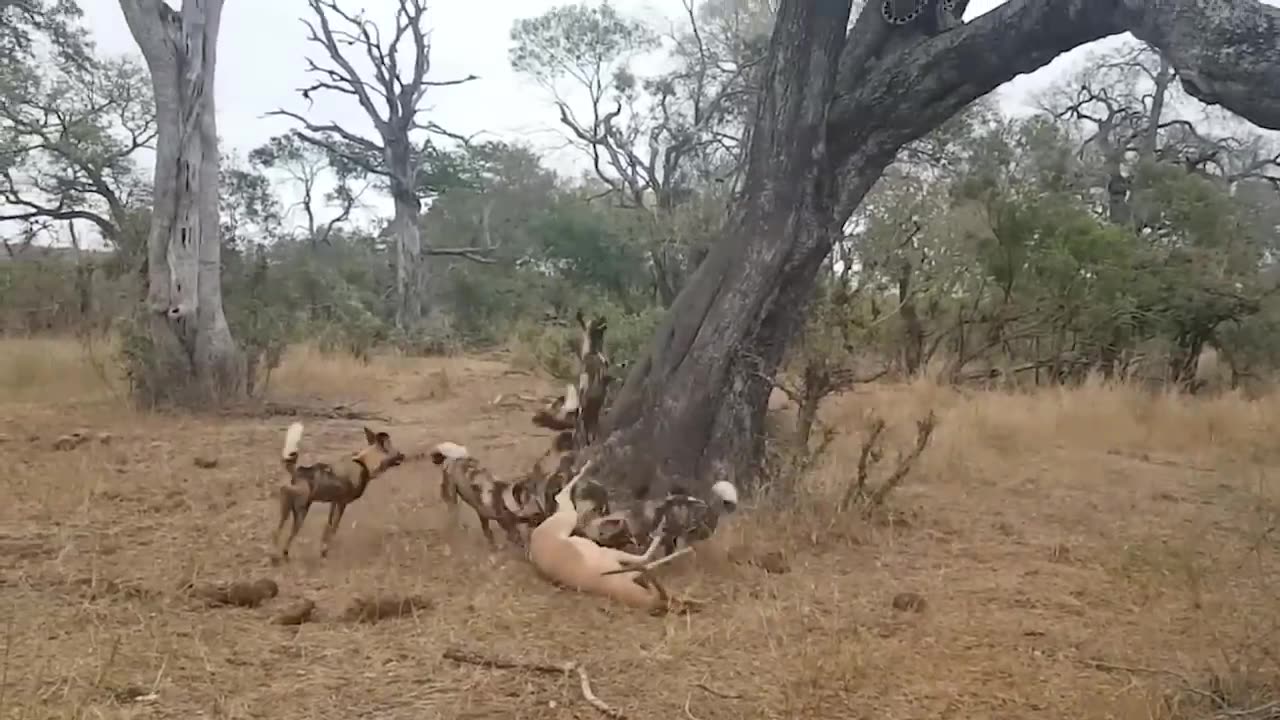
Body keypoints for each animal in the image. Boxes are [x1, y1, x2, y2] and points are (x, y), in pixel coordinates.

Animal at [275, 420, 404, 561]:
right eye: (396, 453)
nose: (403, 455)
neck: (364, 463)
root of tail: (299, 470)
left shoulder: (334, 501)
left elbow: (329, 527)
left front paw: (323, 549)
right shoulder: (342, 503)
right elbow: (334, 527)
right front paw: (326, 550)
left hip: (300, 508)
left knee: (284, 523)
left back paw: (279, 544)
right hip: (302, 506)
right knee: (284, 491)